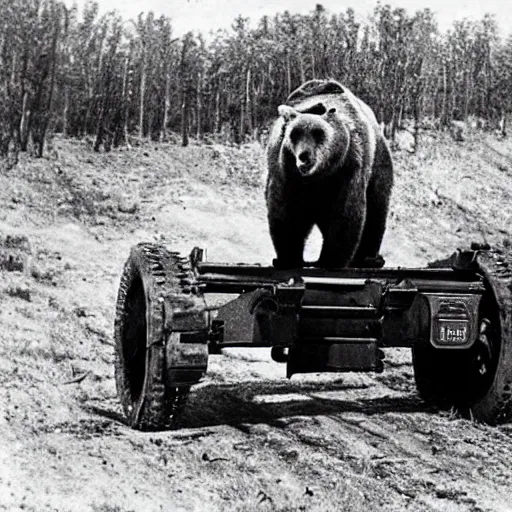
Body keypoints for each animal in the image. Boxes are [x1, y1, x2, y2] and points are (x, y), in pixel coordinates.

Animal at [266, 78, 394, 270]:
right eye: (294, 134)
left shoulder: (348, 168)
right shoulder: (285, 172)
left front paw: (331, 260)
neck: (320, 174)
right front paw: (287, 258)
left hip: (378, 164)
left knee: (376, 208)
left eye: (318, 133)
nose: (304, 156)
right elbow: (284, 212)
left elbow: (346, 214)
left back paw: (370, 259)